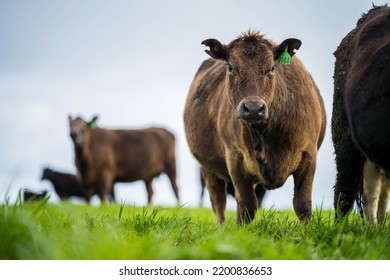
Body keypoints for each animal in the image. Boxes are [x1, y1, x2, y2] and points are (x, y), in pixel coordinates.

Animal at [184, 29, 324, 224]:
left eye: (272, 67)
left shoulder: (309, 154)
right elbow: (247, 206)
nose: (253, 108)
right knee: (218, 202)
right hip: (208, 168)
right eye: (230, 67)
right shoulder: (235, 159)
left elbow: (302, 204)